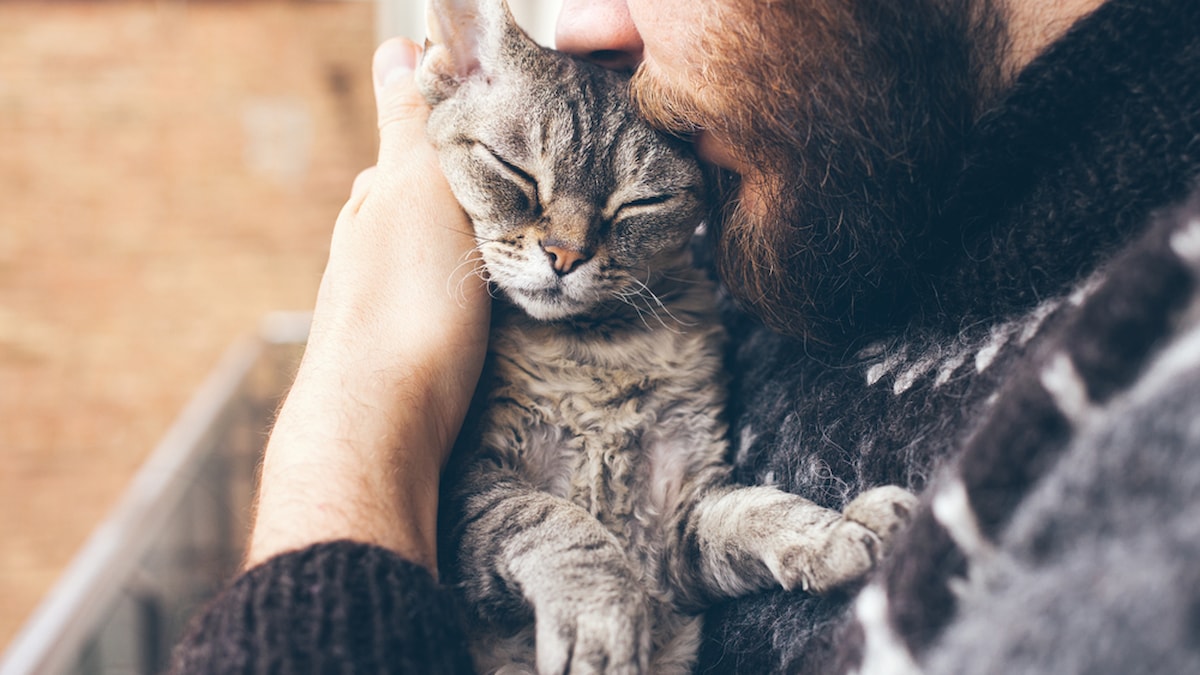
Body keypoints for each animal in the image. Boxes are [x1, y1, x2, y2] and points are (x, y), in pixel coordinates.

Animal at [417, 2, 912, 667]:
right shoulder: (466, 484)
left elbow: (754, 510)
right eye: (515, 171)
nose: (565, 255)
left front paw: (835, 531)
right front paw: (602, 615)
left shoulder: (681, 518)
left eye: (639, 205)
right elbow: (556, 521)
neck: (597, 351)